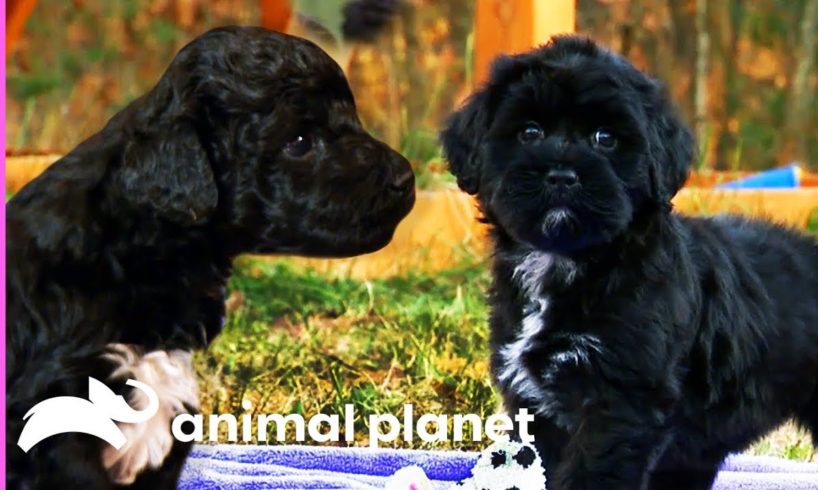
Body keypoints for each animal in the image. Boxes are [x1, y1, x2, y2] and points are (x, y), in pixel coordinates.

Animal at [440, 35, 816, 490]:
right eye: (529, 132)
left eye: (605, 138)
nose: (562, 175)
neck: (570, 261)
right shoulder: (536, 403)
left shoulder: (622, 400)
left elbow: (591, 473)